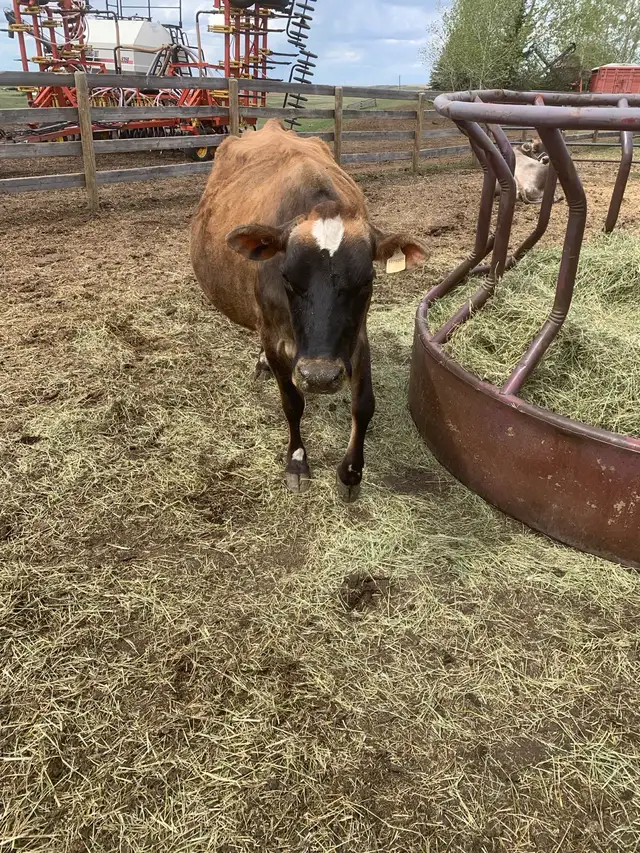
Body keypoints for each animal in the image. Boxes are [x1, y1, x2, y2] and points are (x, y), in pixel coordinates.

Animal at [190, 119, 427, 501]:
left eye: (367, 279)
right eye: (287, 276)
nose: (319, 376)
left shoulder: (356, 336)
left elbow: (364, 403)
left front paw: (351, 472)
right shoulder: (274, 337)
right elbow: (292, 402)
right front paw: (297, 462)